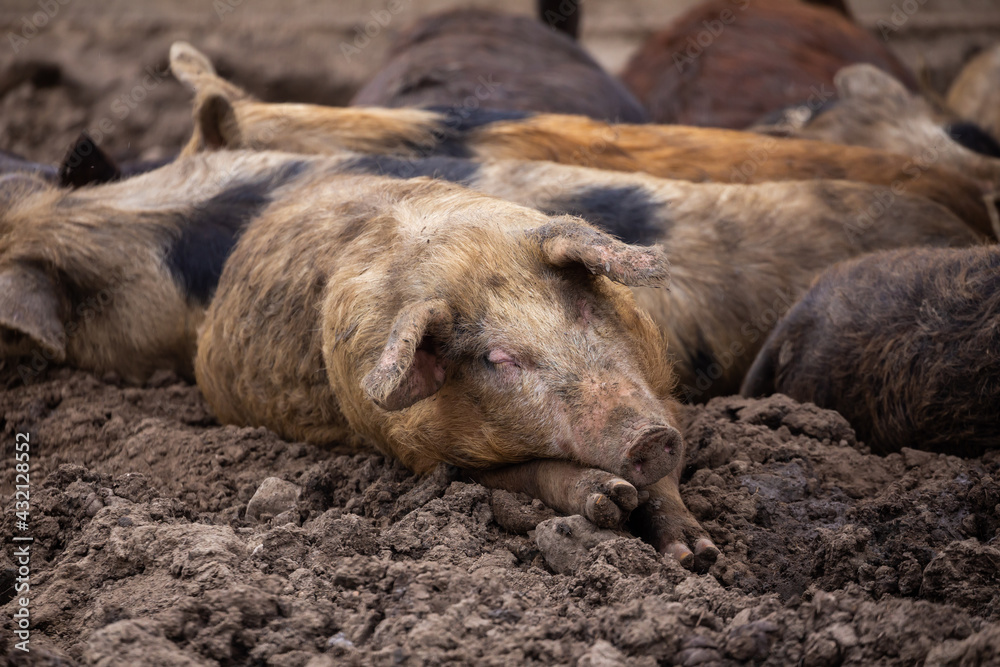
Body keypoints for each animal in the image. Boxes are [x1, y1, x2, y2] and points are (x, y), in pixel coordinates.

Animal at [194, 169, 717, 567]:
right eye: (499, 359)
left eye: (585, 309)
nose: (647, 437)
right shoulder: (425, 454)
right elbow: (530, 473)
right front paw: (610, 499)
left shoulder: (662, 397)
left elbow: (665, 480)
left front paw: (695, 555)